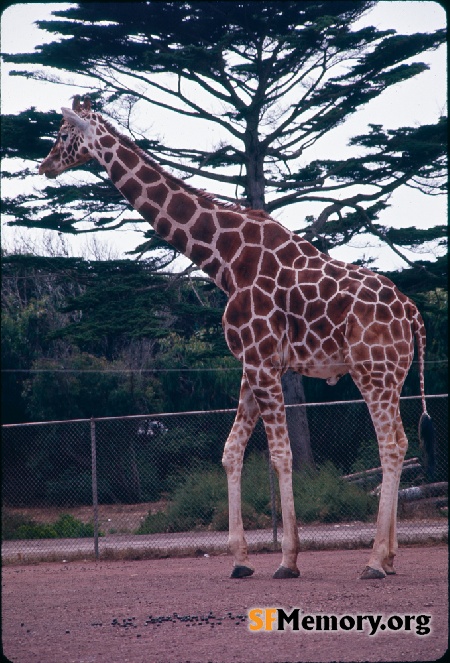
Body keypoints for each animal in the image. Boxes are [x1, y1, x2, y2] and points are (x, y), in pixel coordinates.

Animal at [40, 94, 434, 580]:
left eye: (62, 134)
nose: (44, 165)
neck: (225, 259)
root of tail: (411, 312)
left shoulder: (263, 361)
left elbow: (280, 454)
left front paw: (287, 559)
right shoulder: (252, 362)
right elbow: (231, 451)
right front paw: (241, 559)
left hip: (372, 372)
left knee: (391, 448)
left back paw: (375, 561)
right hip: (393, 375)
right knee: (401, 442)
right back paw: (391, 557)